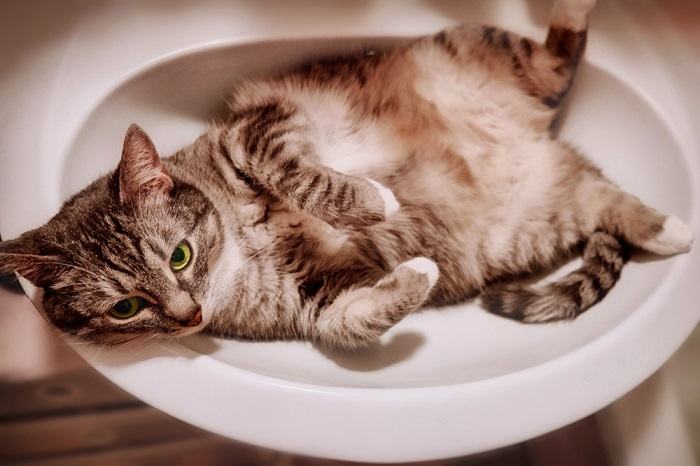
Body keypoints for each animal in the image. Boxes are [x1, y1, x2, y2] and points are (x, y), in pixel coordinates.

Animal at [0, 0, 692, 350]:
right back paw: (671, 229)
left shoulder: (260, 129)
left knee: (560, 51)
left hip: (486, 49)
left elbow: (305, 177)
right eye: (125, 308)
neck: (241, 242)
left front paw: (373, 200)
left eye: (179, 255)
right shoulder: (317, 298)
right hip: (540, 219)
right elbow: (353, 320)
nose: (188, 316)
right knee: (610, 203)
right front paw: (418, 272)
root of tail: (536, 138)